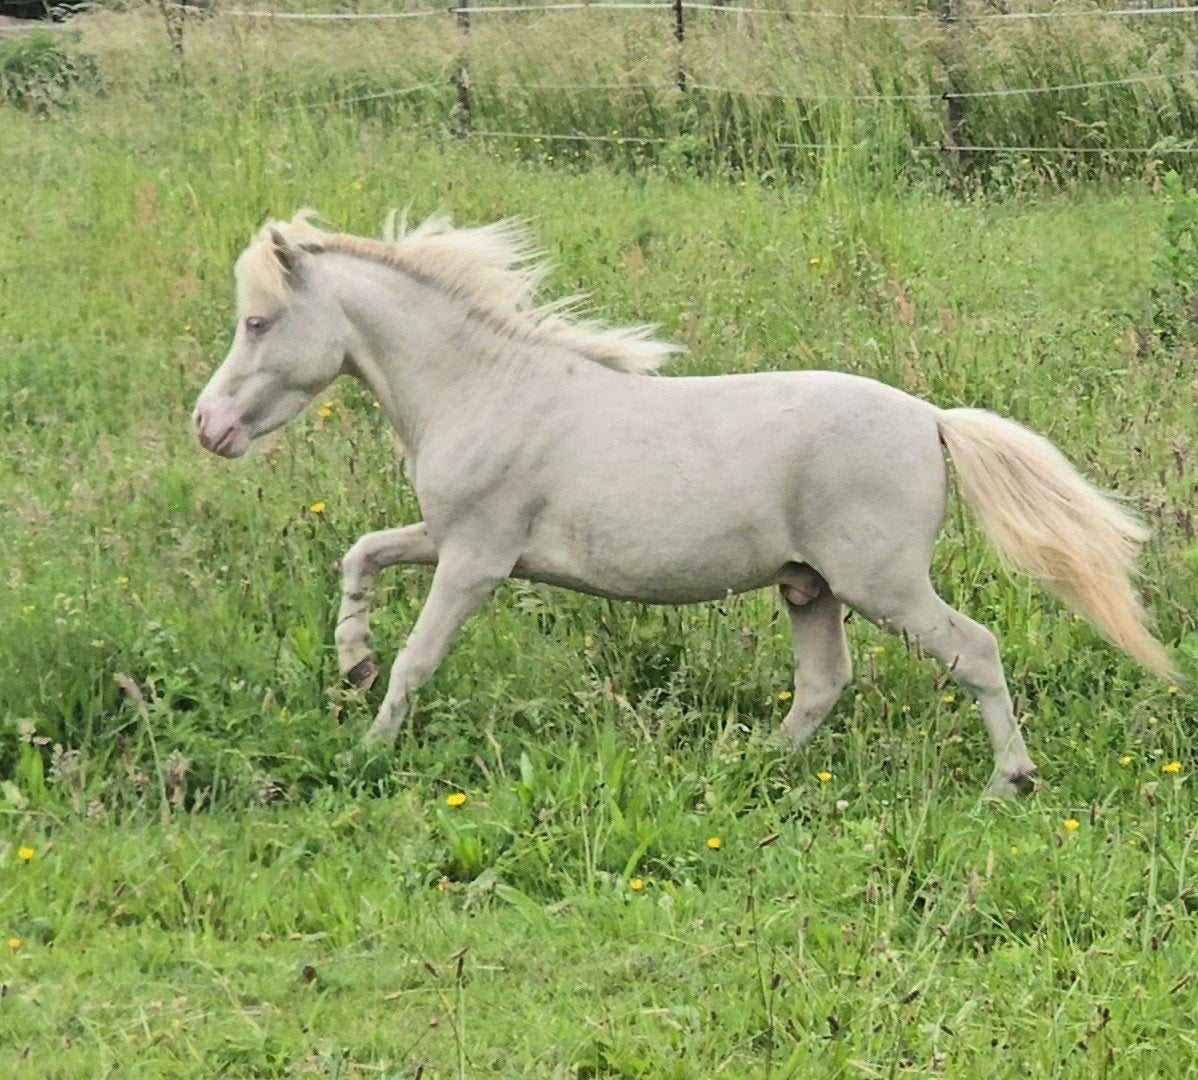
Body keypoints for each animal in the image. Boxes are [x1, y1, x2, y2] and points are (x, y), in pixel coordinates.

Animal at [192, 210, 1172, 797]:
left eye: (257, 321)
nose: (208, 427)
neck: (483, 389)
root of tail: (932, 420)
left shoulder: (476, 560)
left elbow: (417, 660)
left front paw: (369, 750)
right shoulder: (448, 537)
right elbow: (359, 553)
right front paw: (351, 663)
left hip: (881, 585)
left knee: (974, 651)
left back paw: (1011, 781)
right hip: (809, 586)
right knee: (824, 683)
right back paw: (747, 768)